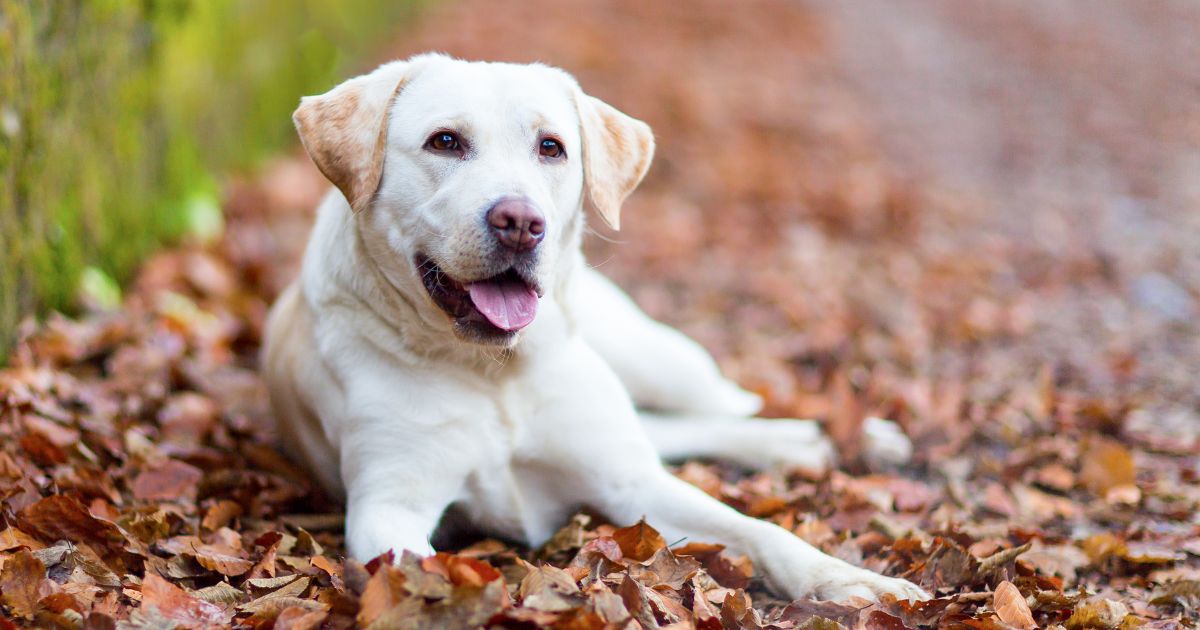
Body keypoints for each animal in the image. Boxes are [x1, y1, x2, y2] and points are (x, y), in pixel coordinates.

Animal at [262, 54, 926, 600]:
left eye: (551, 147)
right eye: (444, 141)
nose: (520, 222)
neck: (495, 373)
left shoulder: (631, 484)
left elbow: (759, 529)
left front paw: (851, 581)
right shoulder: (388, 506)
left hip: (657, 359)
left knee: (728, 403)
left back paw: (841, 434)